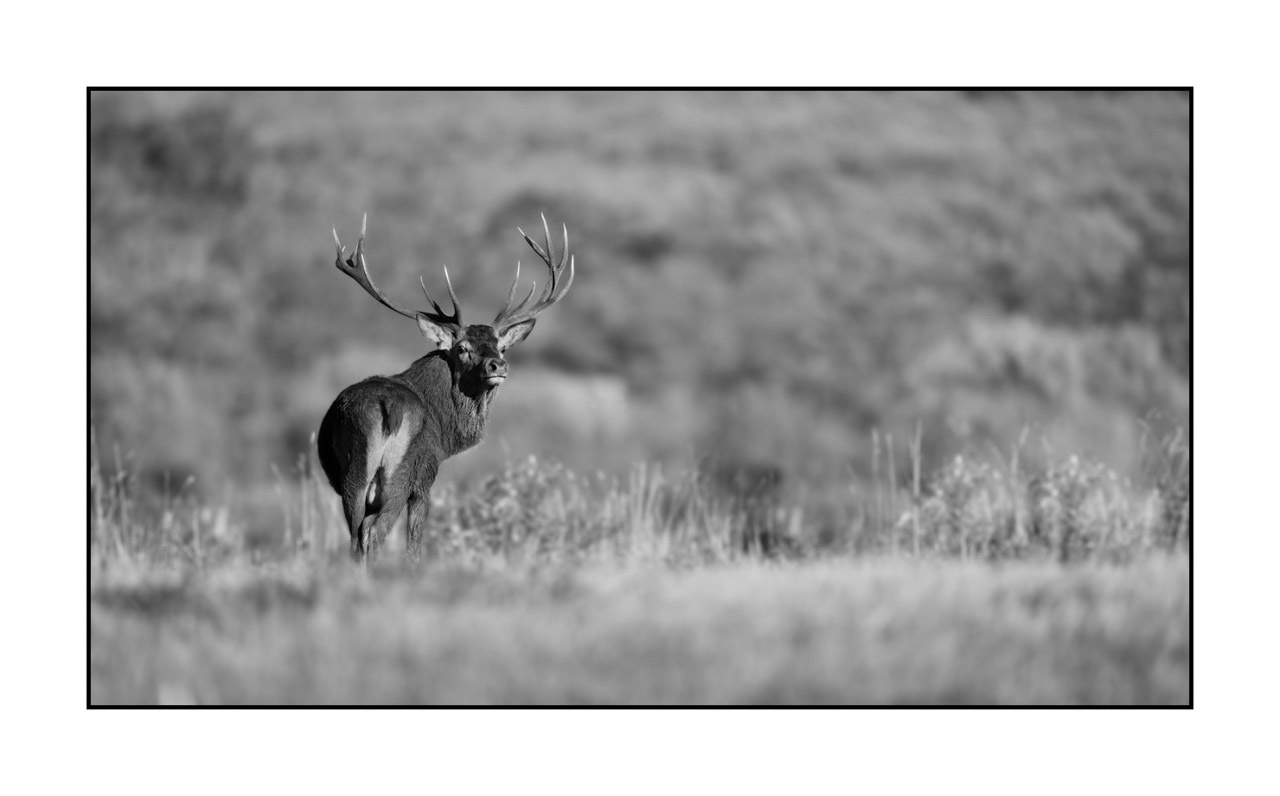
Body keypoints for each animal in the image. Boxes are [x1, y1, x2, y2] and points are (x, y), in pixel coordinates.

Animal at [317, 213, 575, 564]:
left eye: (501, 347)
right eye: (463, 348)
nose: (498, 366)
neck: (447, 432)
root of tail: (386, 408)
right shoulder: (425, 477)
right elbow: (414, 548)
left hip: (353, 477)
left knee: (356, 537)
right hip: (400, 473)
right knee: (374, 532)